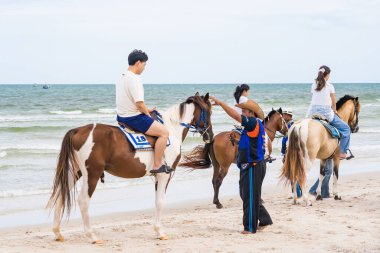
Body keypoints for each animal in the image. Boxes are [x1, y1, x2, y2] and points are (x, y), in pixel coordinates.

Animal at [46, 92, 214, 243]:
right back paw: (92, 236)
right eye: (210, 111)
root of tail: (77, 130)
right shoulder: (164, 175)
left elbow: (156, 201)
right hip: (91, 174)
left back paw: (57, 233)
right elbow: (160, 202)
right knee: (83, 200)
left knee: (61, 194)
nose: (210, 136)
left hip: (75, 172)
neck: (171, 130)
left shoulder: (157, 177)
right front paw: (160, 232)